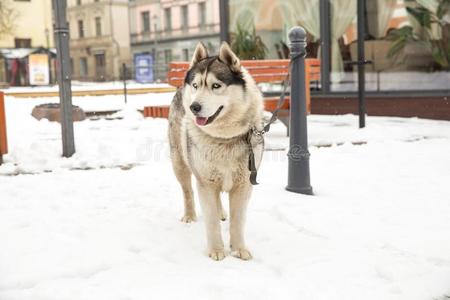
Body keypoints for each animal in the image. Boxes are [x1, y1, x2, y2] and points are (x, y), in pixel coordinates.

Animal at [169, 42, 264, 260]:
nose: (194, 107)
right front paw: (216, 250)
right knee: (187, 191)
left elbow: (238, 221)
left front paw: (238, 249)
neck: (224, 138)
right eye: (196, 86)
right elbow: (211, 221)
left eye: (216, 86)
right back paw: (189, 215)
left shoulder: (244, 185)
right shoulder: (205, 181)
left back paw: (221, 212)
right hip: (180, 164)